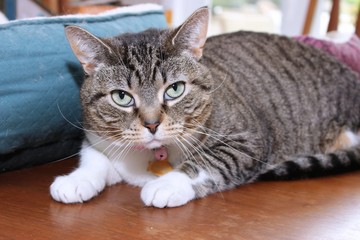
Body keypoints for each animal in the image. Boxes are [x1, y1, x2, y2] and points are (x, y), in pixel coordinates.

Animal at [50, 6, 360, 207]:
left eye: (175, 89)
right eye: (122, 97)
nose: (152, 124)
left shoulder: (249, 140)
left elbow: (209, 160)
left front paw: (167, 184)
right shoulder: (96, 136)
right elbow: (95, 158)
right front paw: (76, 180)